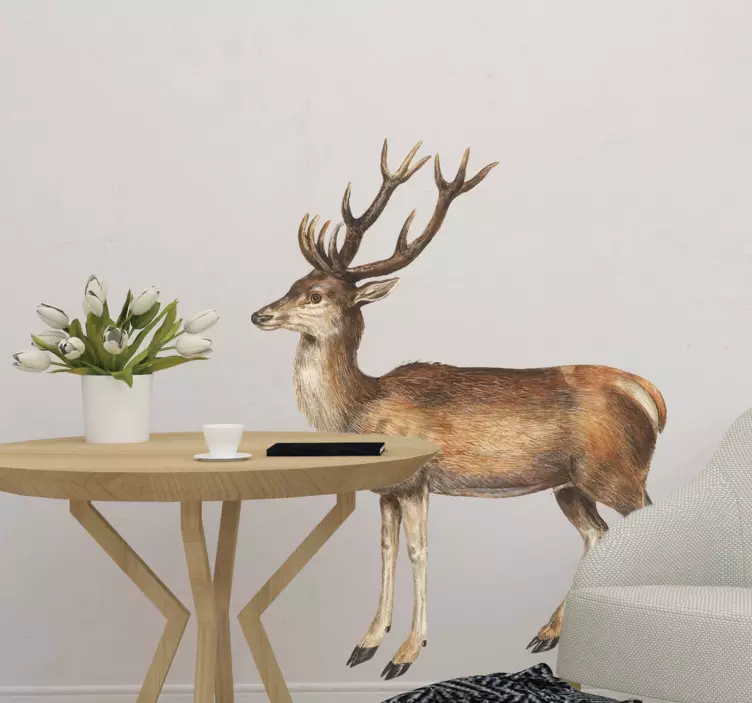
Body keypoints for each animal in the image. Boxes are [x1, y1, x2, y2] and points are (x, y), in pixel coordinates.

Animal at [251, 141, 667, 680]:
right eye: (293, 282)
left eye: (316, 294)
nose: (260, 314)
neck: (363, 405)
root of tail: (648, 394)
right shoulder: (386, 490)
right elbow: (385, 550)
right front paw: (367, 642)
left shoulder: (416, 480)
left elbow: (418, 552)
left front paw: (406, 653)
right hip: (571, 484)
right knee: (597, 535)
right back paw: (548, 632)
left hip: (616, 472)